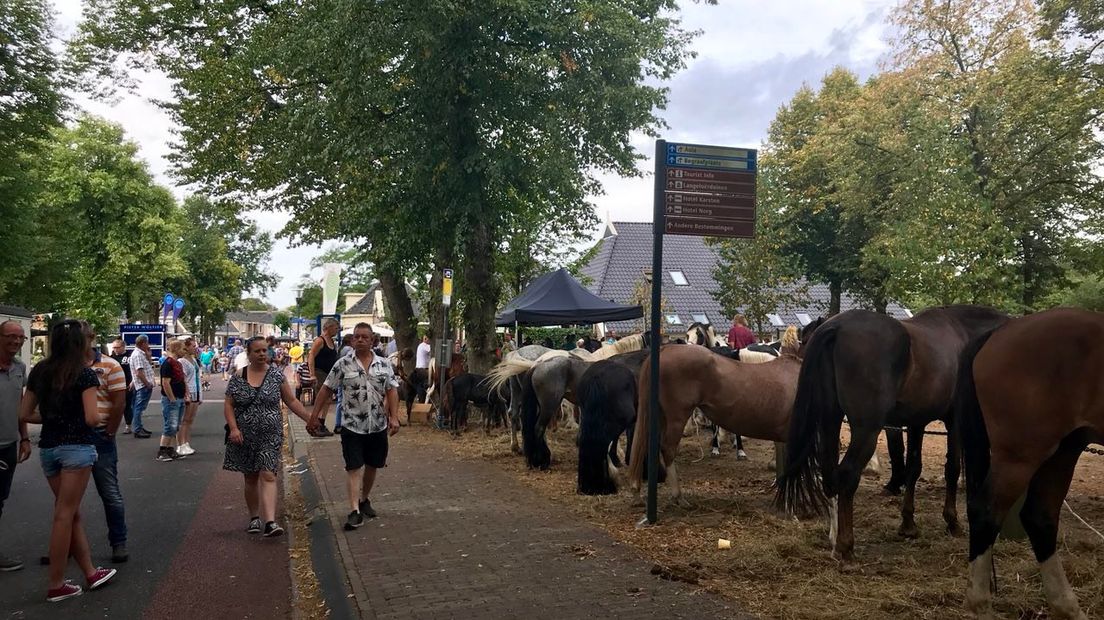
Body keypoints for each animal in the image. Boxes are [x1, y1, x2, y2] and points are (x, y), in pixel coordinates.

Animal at [772, 304, 1011, 560]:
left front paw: (908, 524)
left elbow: (913, 469)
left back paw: (836, 540)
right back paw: (846, 546)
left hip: (830, 421)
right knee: (847, 475)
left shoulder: (917, 423)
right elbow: (952, 469)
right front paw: (952, 522)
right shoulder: (953, 421)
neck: (964, 336)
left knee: (830, 475)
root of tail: (836, 327)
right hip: (866, 429)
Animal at [958, 308, 1104, 617]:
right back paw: (980, 604)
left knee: (1040, 518)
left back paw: (1067, 607)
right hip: (1021, 458)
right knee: (985, 513)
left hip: (1063, 451)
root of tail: (1002, 331)